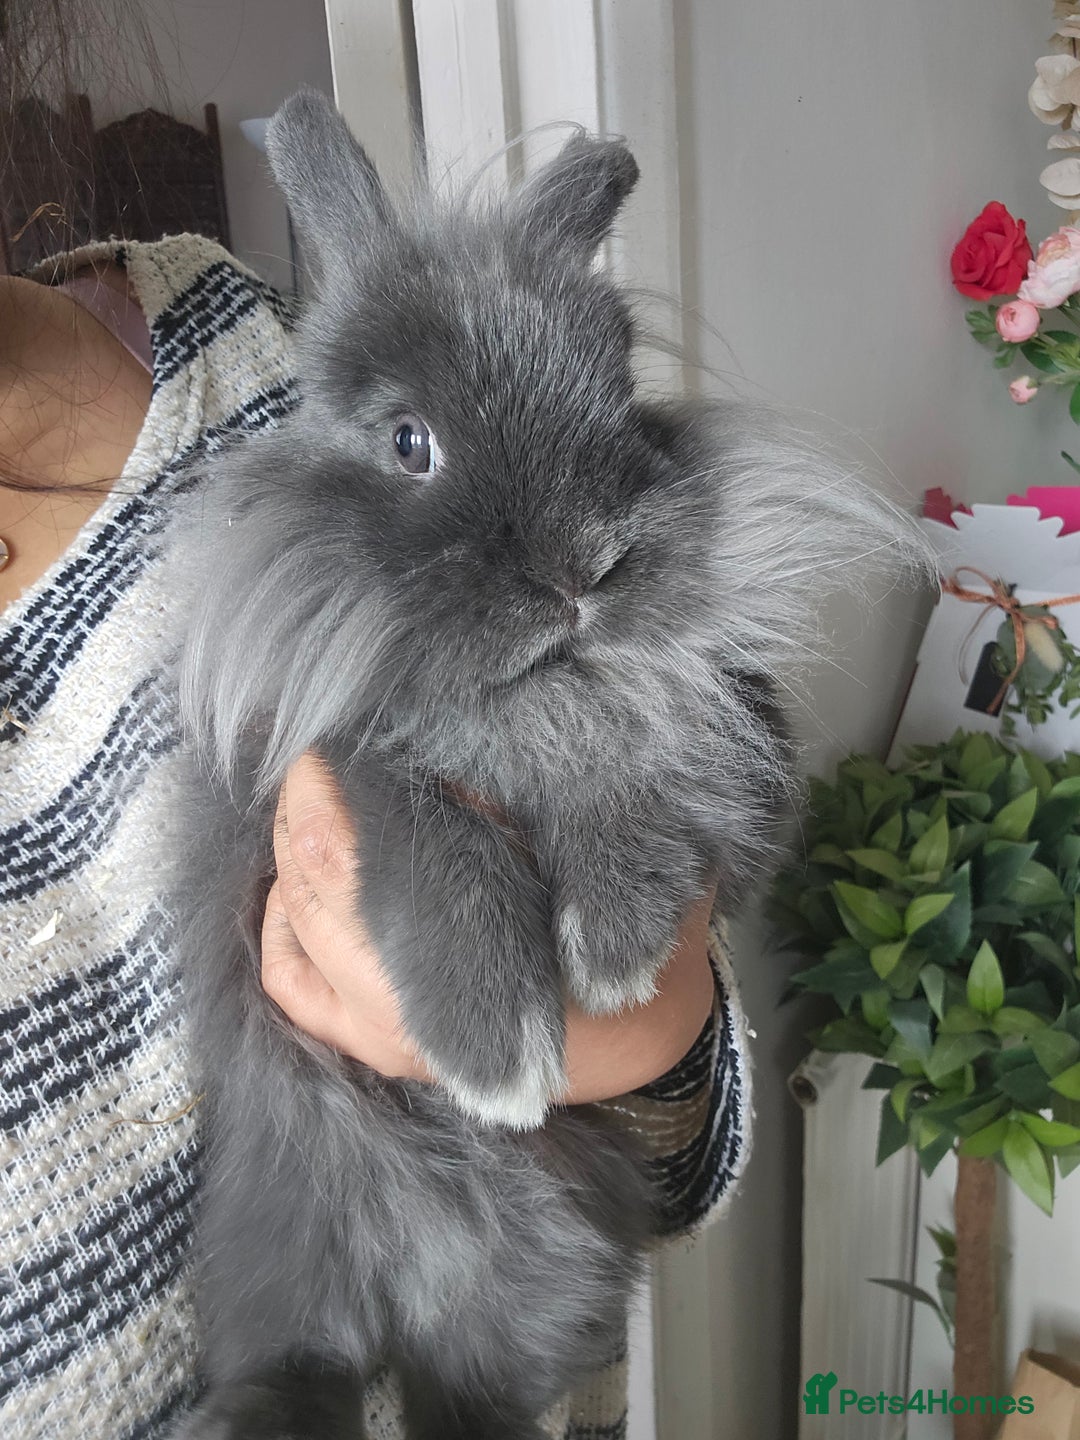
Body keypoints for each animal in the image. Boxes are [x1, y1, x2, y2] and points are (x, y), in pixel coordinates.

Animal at [167, 89, 915, 1439]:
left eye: (619, 396)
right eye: (409, 440)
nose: (588, 565)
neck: (540, 691)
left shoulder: (726, 741)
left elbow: (652, 782)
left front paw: (613, 950)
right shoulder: (312, 777)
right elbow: (428, 827)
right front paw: (500, 1059)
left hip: (526, 1310)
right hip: (289, 1249)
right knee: (294, 1364)